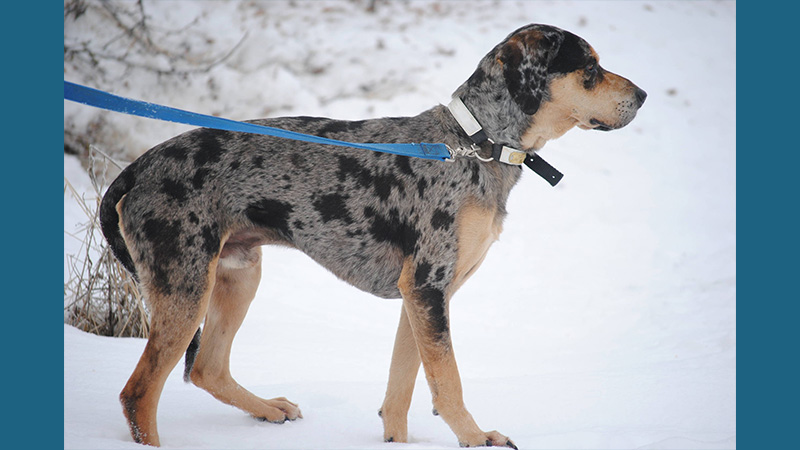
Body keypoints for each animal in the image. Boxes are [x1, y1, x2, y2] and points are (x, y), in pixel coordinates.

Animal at [100, 23, 648, 446]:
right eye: (589, 68)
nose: (642, 96)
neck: (475, 143)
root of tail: (137, 168)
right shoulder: (427, 287)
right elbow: (448, 383)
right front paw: (477, 438)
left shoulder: (422, 295)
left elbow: (401, 392)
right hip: (186, 286)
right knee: (138, 394)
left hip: (238, 274)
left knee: (206, 368)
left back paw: (269, 408)